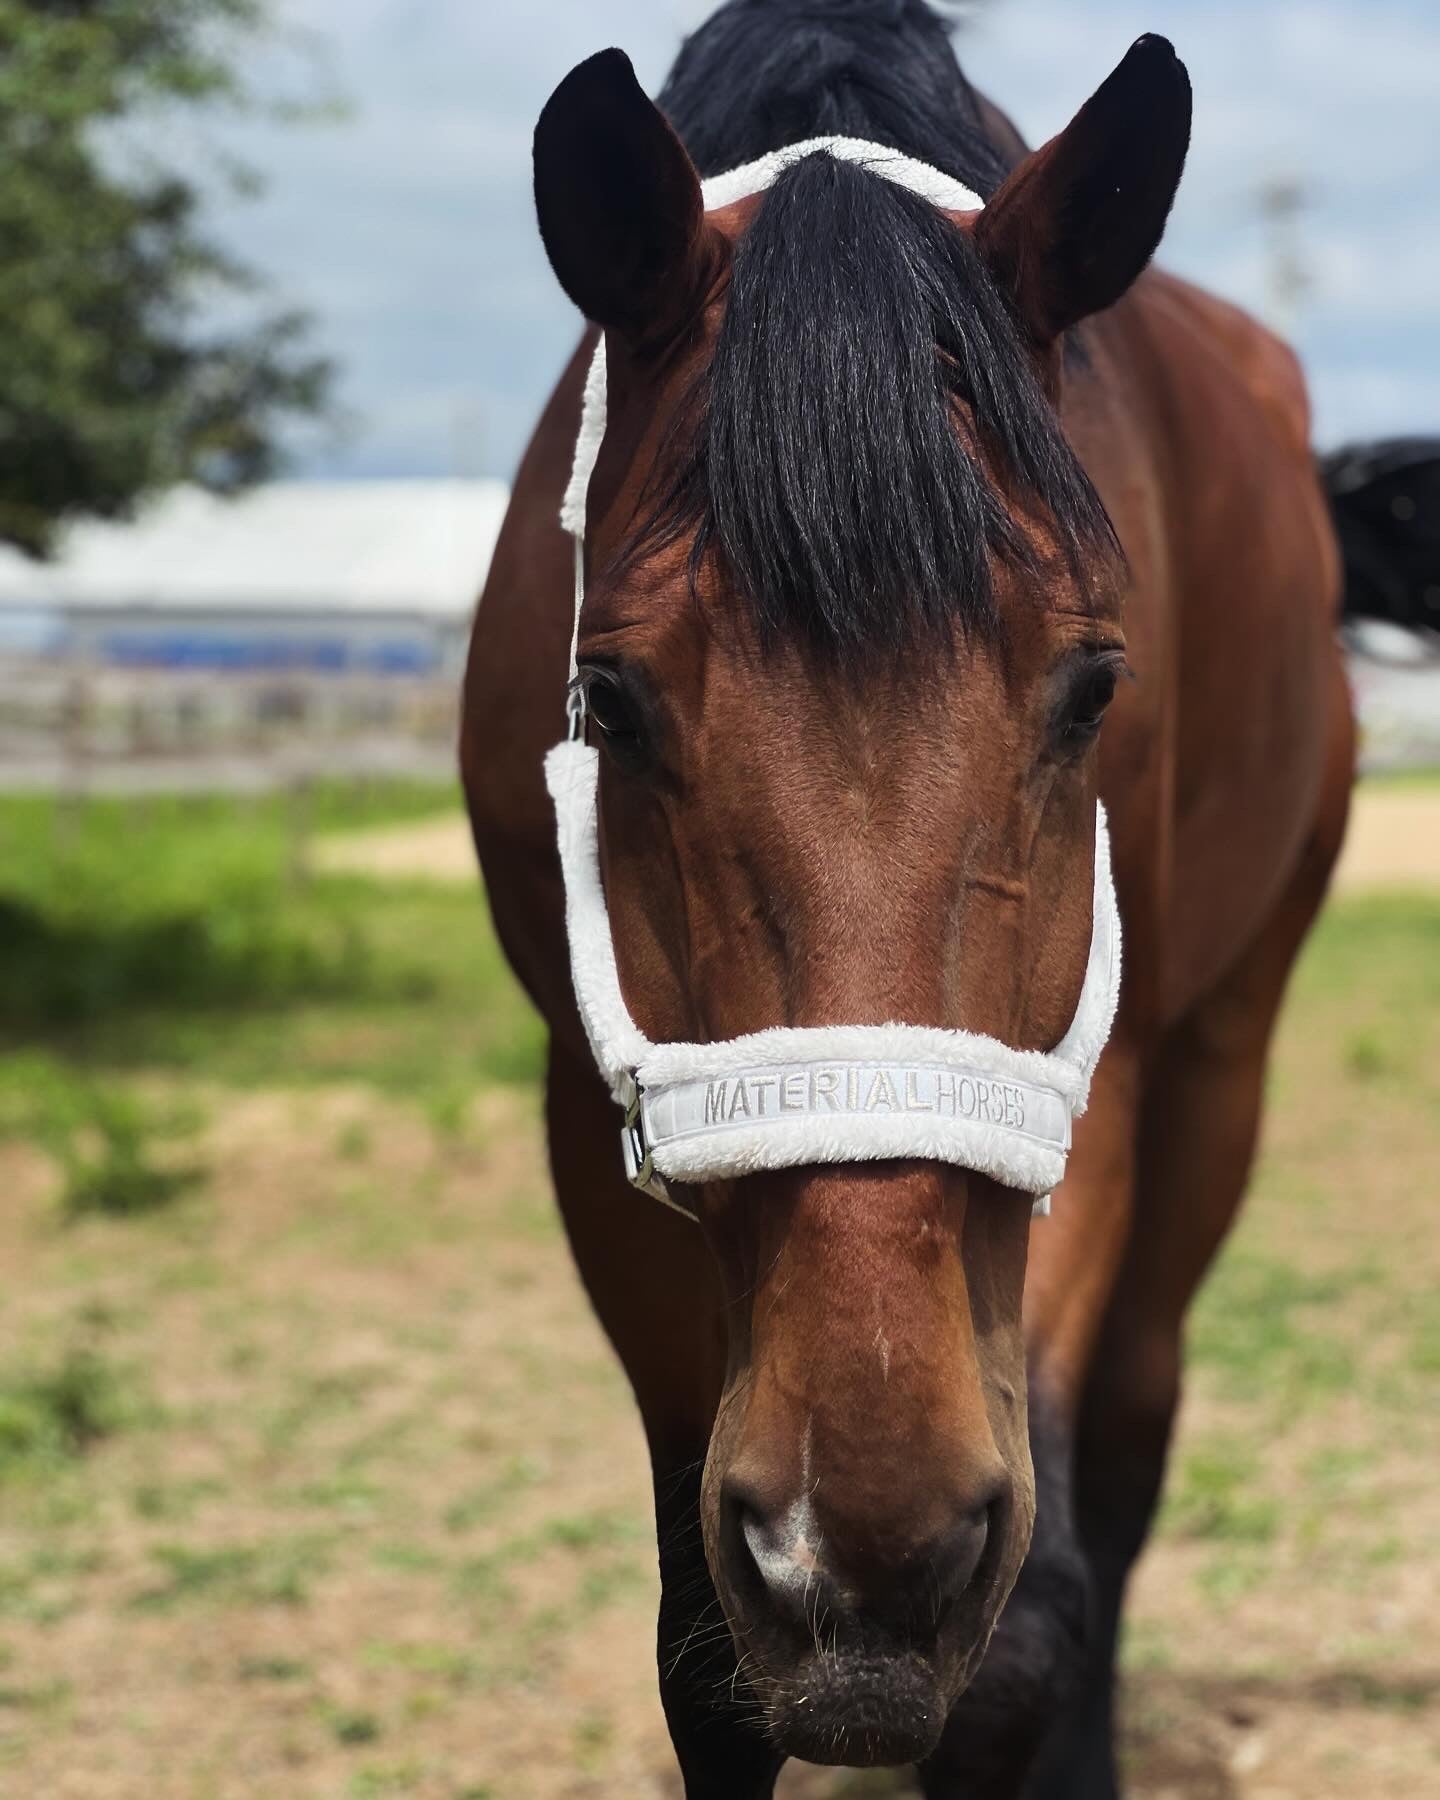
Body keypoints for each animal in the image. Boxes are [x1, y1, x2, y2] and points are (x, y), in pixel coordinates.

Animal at [464, 3, 1360, 1800]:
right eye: (612, 701)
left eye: (1095, 689)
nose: (865, 1559)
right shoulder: (593, 1116)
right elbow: (703, 1655)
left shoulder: (1089, 1094)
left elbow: (1024, 1637)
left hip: (1223, 1057)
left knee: (1132, 1447)